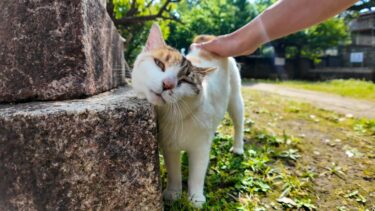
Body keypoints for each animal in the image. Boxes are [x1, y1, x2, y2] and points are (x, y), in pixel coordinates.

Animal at [131, 23, 245, 207]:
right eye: (159, 64)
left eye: (184, 81)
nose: (167, 84)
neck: (176, 118)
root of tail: (209, 38)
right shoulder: (169, 147)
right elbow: (174, 173)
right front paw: (173, 193)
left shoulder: (201, 148)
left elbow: (197, 174)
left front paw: (196, 198)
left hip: (235, 99)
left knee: (239, 123)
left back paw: (238, 148)